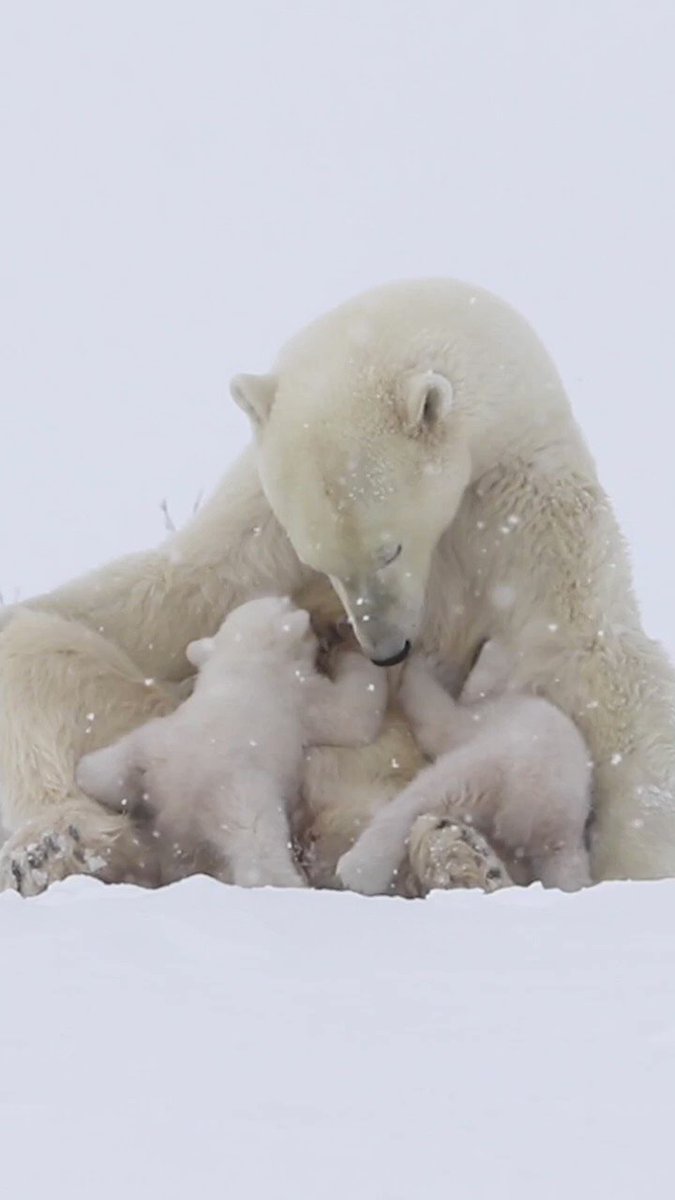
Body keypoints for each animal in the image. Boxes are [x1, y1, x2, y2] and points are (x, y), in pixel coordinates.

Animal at [1, 278, 672, 892]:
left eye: (390, 548)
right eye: (317, 558)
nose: (386, 650)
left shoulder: (528, 509)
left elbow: (595, 661)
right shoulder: (260, 522)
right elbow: (179, 591)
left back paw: (462, 856)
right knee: (43, 664)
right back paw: (60, 847)